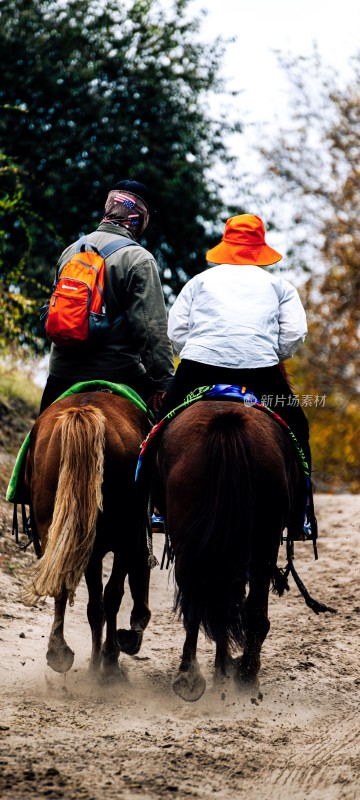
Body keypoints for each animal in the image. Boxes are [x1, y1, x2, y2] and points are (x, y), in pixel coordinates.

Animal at [23, 390, 150, 680]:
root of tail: (83, 410)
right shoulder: (131, 538)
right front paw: (109, 656)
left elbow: (94, 608)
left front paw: (95, 662)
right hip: (126, 536)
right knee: (113, 595)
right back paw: (110, 662)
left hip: (58, 526)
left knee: (62, 583)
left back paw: (59, 652)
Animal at [153, 400, 306, 700]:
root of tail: (226, 425)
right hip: (261, 544)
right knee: (246, 609)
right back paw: (243, 675)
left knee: (202, 602)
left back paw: (193, 676)